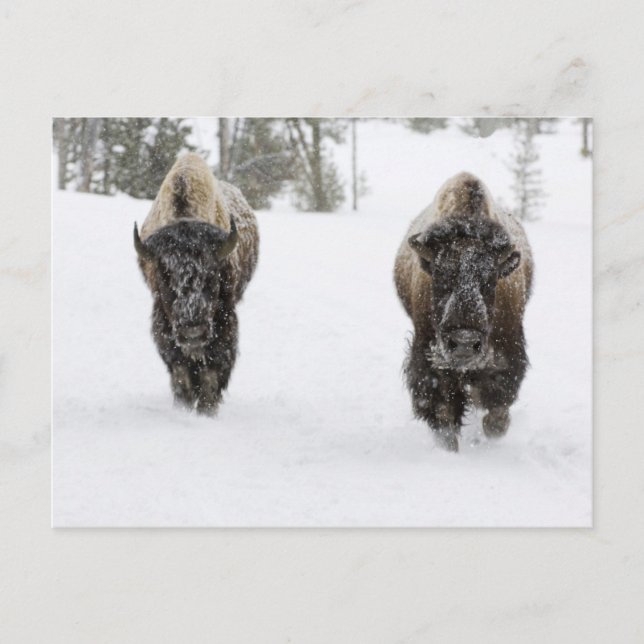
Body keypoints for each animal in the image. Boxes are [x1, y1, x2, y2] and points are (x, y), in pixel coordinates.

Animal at [134, 154, 259, 414]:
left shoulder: (224, 318)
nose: (192, 332)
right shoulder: (164, 321)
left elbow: (213, 369)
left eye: (212, 275)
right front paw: (183, 406)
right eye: (165, 275)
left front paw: (207, 410)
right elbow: (180, 370)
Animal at [394, 173, 533, 451]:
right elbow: (443, 411)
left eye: (490, 280)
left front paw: (492, 430)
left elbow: (497, 409)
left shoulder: (508, 352)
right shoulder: (429, 359)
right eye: (440, 276)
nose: (464, 343)